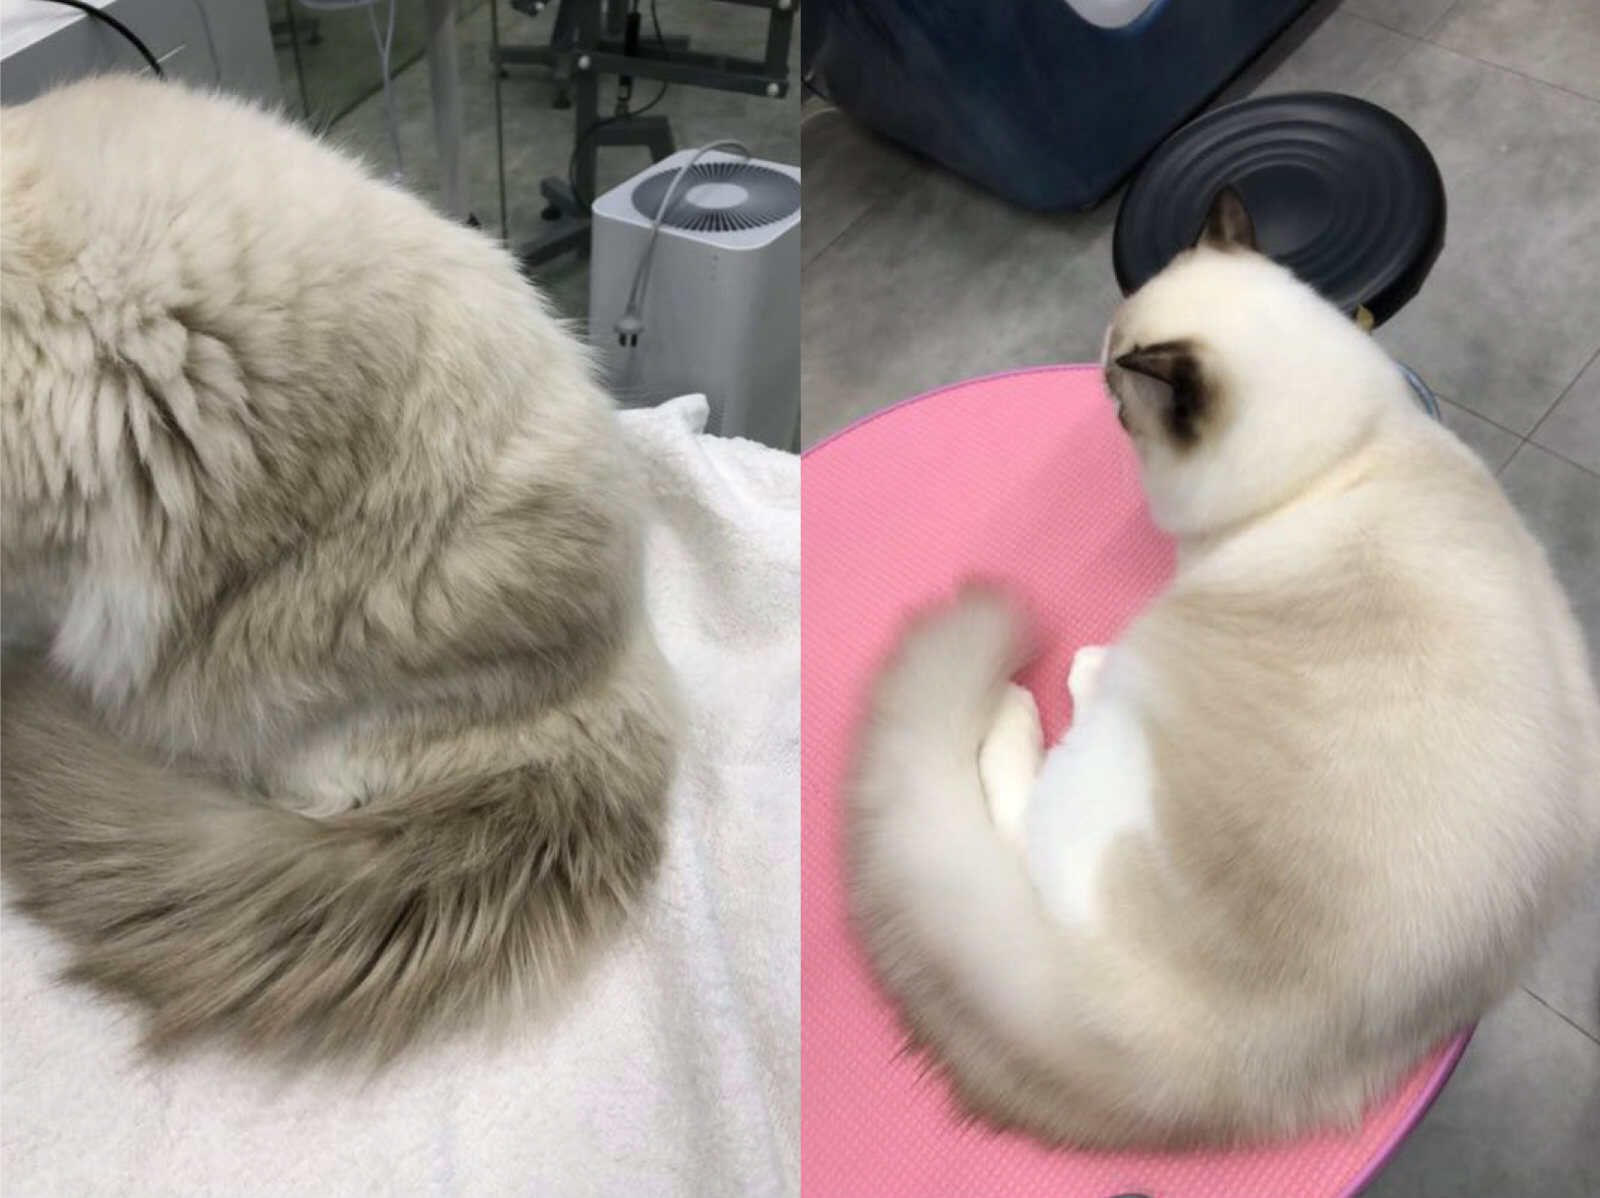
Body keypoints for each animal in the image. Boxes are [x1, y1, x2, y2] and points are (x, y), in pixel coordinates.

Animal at [846, 188, 1600, 1149]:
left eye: (1120, 399)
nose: (1106, 400)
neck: (1344, 456)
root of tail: (1200, 1064)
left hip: (1105, 766)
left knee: (1019, 815)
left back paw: (1042, 693)